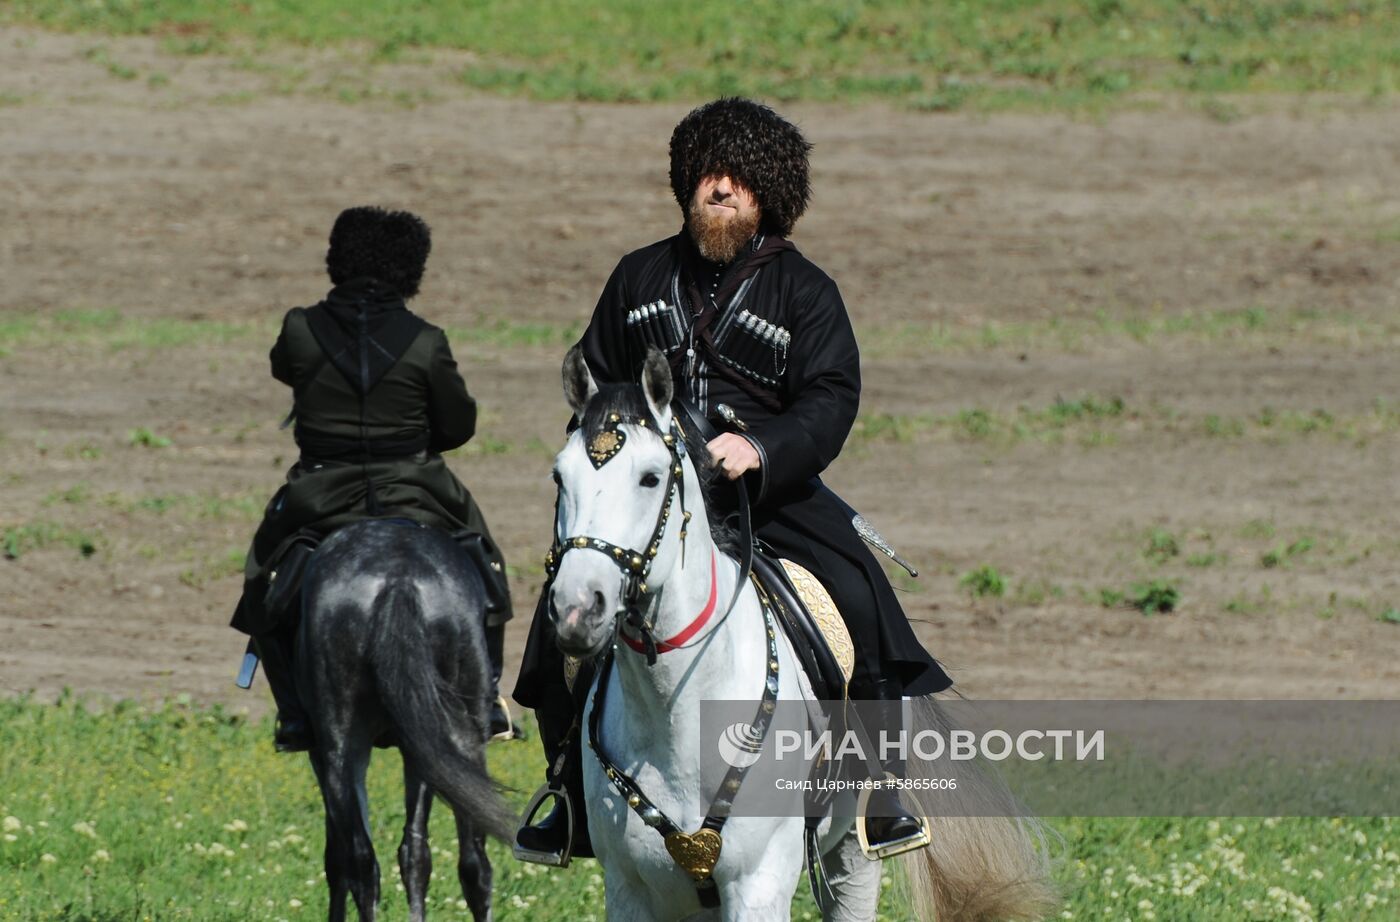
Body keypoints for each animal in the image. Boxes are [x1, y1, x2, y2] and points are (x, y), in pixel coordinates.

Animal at [298, 520, 518, 922]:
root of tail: (397, 581)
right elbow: (412, 852)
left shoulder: (321, 754)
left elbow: (337, 857)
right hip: (454, 741)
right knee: (467, 859)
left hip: (344, 745)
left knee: (364, 859)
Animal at [540, 346, 1052, 922]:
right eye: (560, 478)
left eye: (651, 478)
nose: (577, 608)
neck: (675, 710)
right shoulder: (631, 890)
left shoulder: (758, 885)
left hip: (852, 852)